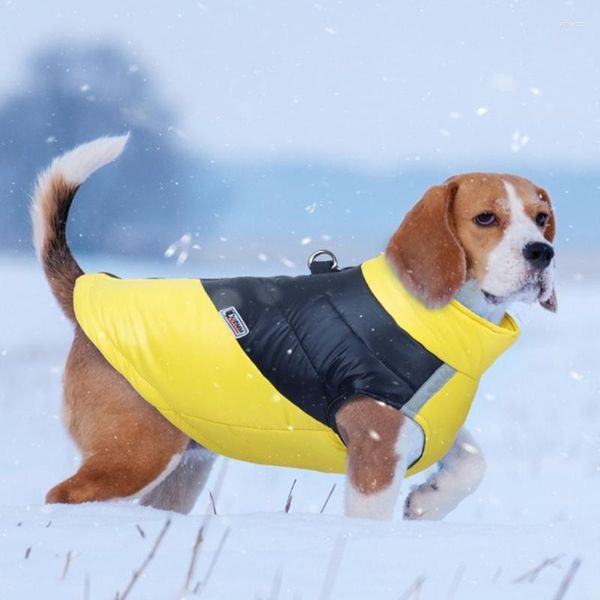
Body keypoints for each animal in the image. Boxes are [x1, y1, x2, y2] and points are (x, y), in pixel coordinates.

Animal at [29, 137, 556, 520]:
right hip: (136, 453)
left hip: (184, 464)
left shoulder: (428, 421)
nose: (542, 252)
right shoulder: (376, 448)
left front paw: (430, 501)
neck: (445, 319)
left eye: (541, 218)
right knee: (61, 496)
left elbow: (472, 463)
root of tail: (88, 289)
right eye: (485, 218)